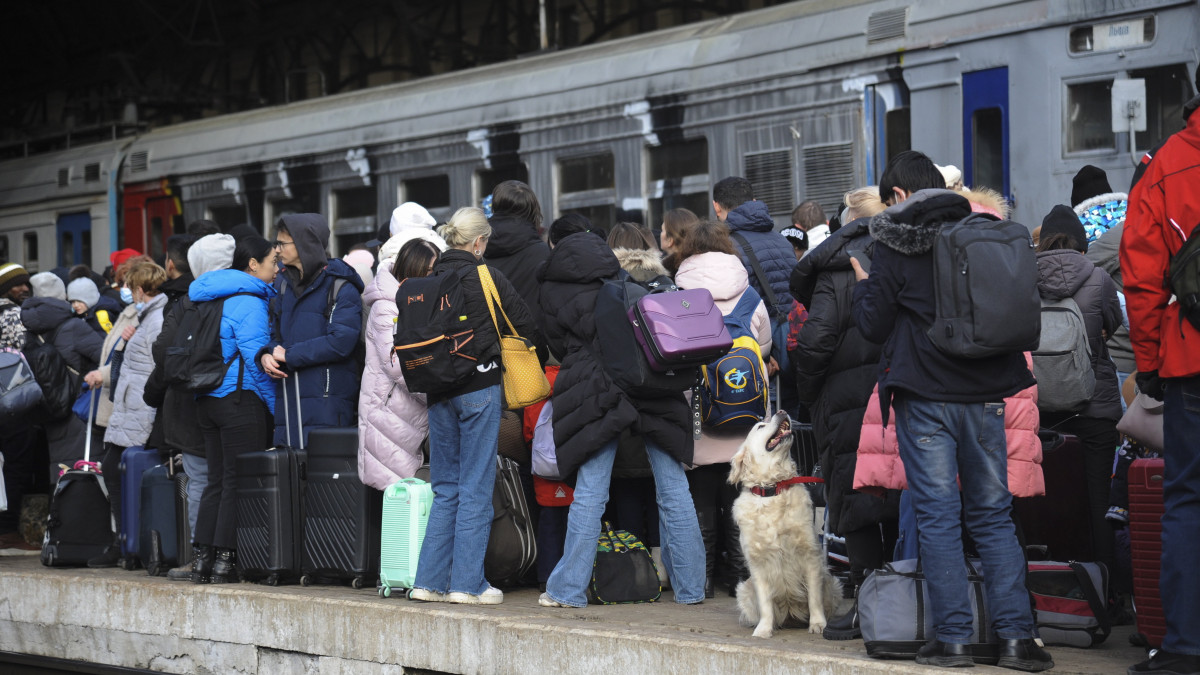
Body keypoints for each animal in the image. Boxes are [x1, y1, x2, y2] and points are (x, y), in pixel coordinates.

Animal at [724, 410, 840, 634]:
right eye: (760, 426)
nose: (781, 411)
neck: (773, 489)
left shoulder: (810, 555)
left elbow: (814, 598)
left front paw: (818, 624)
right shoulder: (758, 563)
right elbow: (765, 603)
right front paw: (763, 630)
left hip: (832, 582)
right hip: (744, 589)